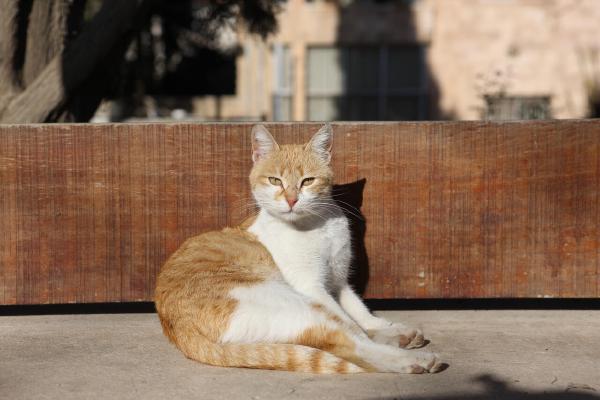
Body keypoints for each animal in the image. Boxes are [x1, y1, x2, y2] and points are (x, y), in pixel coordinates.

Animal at [154, 124, 444, 374]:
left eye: (307, 181)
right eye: (275, 181)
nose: (292, 199)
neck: (315, 226)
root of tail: (178, 329)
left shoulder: (339, 283)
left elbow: (360, 312)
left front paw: (383, 327)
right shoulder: (312, 287)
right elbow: (352, 325)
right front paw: (383, 335)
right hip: (297, 304)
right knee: (348, 342)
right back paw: (412, 360)